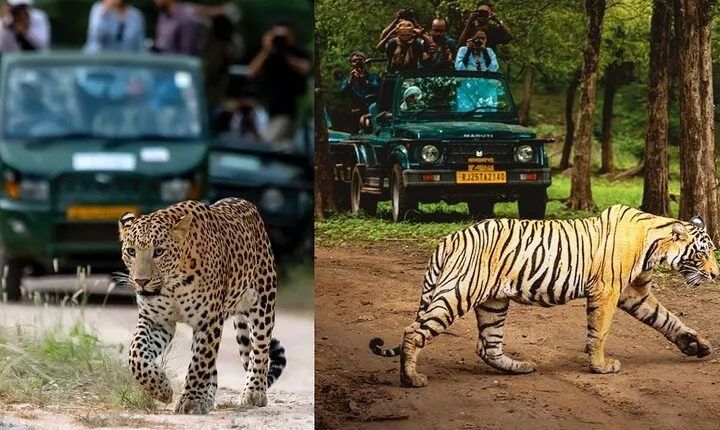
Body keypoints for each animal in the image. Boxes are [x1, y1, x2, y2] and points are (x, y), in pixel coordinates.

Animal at [116, 198, 286, 414]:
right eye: (131, 251)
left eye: (159, 252)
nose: (141, 281)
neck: (173, 285)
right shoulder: (156, 320)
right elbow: (136, 355)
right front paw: (161, 389)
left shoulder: (208, 321)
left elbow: (199, 363)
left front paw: (190, 401)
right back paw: (207, 398)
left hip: (263, 302)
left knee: (259, 349)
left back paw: (254, 392)